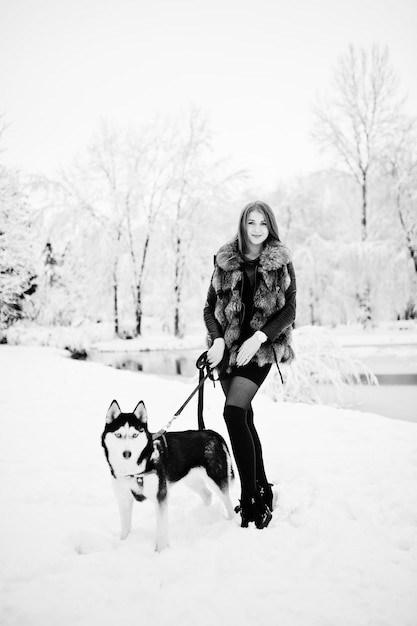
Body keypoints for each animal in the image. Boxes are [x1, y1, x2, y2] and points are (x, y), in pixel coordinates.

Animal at [101, 398, 234, 548]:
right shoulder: (124, 500)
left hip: (216, 479)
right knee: (207, 495)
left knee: (228, 504)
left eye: (135, 435)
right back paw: (203, 514)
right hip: (191, 480)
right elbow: (125, 530)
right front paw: (123, 543)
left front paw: (161, 550)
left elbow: (161, 532)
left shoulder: (160, 496)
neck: (134, 470)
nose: (127, 454)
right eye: (118, 435)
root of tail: (210, 433)